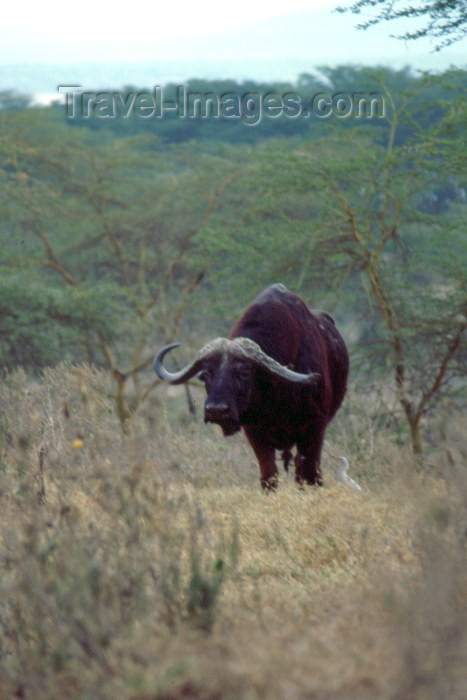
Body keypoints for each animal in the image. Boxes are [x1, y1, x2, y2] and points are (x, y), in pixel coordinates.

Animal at [155, 282, 350, 490]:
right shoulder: (255, 433)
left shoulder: (315, 427)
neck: (277, 394)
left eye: (244, 372)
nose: (216, 410)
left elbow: (308, 474)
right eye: (205, 374)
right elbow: (269, 475)